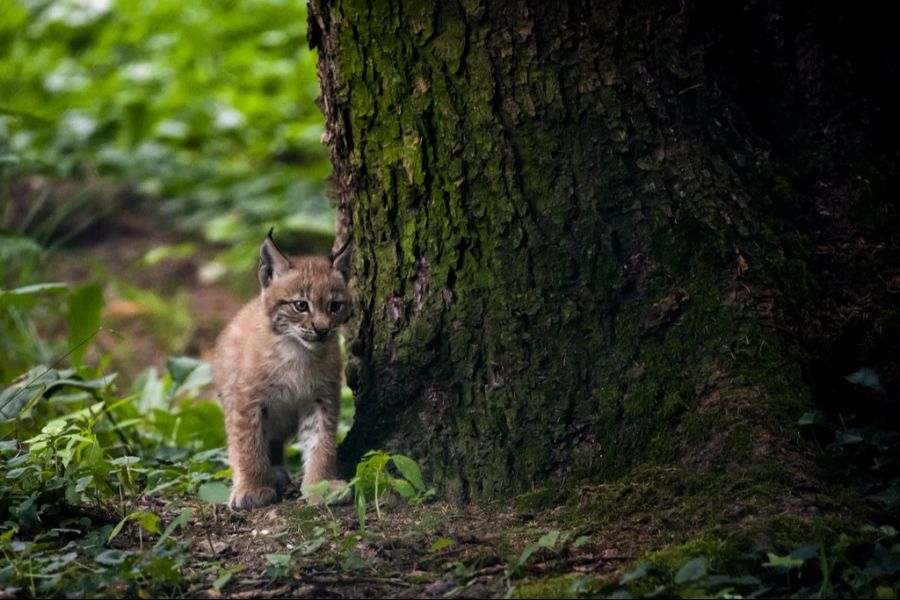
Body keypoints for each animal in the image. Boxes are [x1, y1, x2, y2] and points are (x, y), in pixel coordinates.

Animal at [213, 232, 350, 508]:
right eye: (301, 305)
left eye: (335, 306)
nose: (322, 330)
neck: (297, 351)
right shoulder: (248, 398)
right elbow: (248, 444)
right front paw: (253, 488)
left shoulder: (322, 397)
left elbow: (322, 442)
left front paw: (321, 485)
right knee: (236, 442)